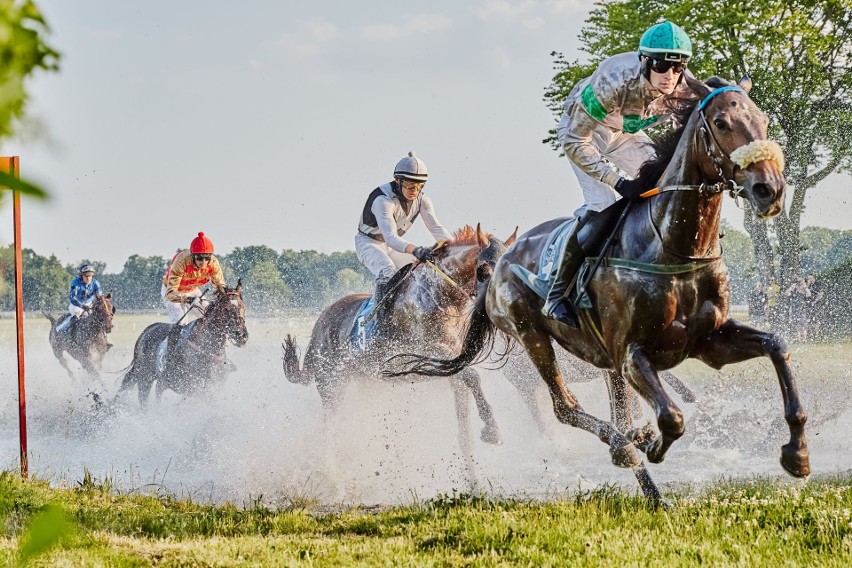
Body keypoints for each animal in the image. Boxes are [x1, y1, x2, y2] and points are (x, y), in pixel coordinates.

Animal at [119, 282, 250, 406]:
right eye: (226, 309)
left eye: (243, 306)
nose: (241, 335)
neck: (207, 348)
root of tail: (146, 331)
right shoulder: (194, 387)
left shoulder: (216, 386)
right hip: (144, 378)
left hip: (159, 381)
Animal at [282, 224, 516, 486]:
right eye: (485, 269)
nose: (508, 306)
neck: (439, 295)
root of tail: (319, 325)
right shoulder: (426, 353)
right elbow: (473, 375)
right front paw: (492, 429)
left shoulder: (453, 371)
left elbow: (465, 432)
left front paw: (475, 483)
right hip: (331, 386)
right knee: (328, 433)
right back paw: (332, 477)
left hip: (364, 383)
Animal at [396, 76, 808, 506]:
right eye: (722, 122)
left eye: (762, 119)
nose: (769, 189)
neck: (671, 244)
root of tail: (500, 268)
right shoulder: (630, 354)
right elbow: (670, 418)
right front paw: (648, 442)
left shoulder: (708, 341)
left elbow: (777, 345)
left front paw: (796, 453)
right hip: (531, 335)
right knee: (565, 407)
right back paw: (624, 447)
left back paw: (650, 486)